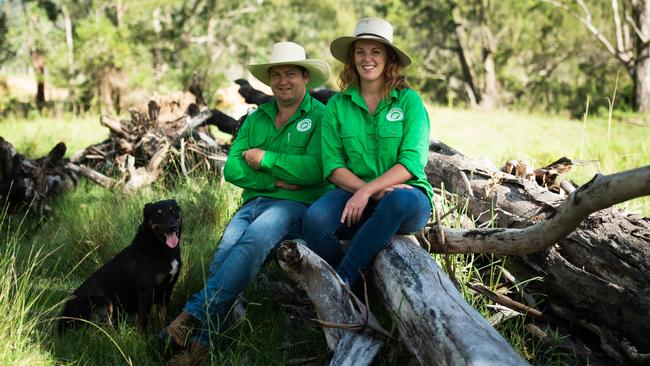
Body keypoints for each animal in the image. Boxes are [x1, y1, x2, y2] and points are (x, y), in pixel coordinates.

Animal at [58, 199, 181, 334]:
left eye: (173, 211)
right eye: (158, 214)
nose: (172, 227)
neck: (158, 248)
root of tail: (63, 319)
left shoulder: (167, 290)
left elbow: (162, 319)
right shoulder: (145, 293)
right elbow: (142, 324)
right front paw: (141, 339)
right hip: (104, 303)